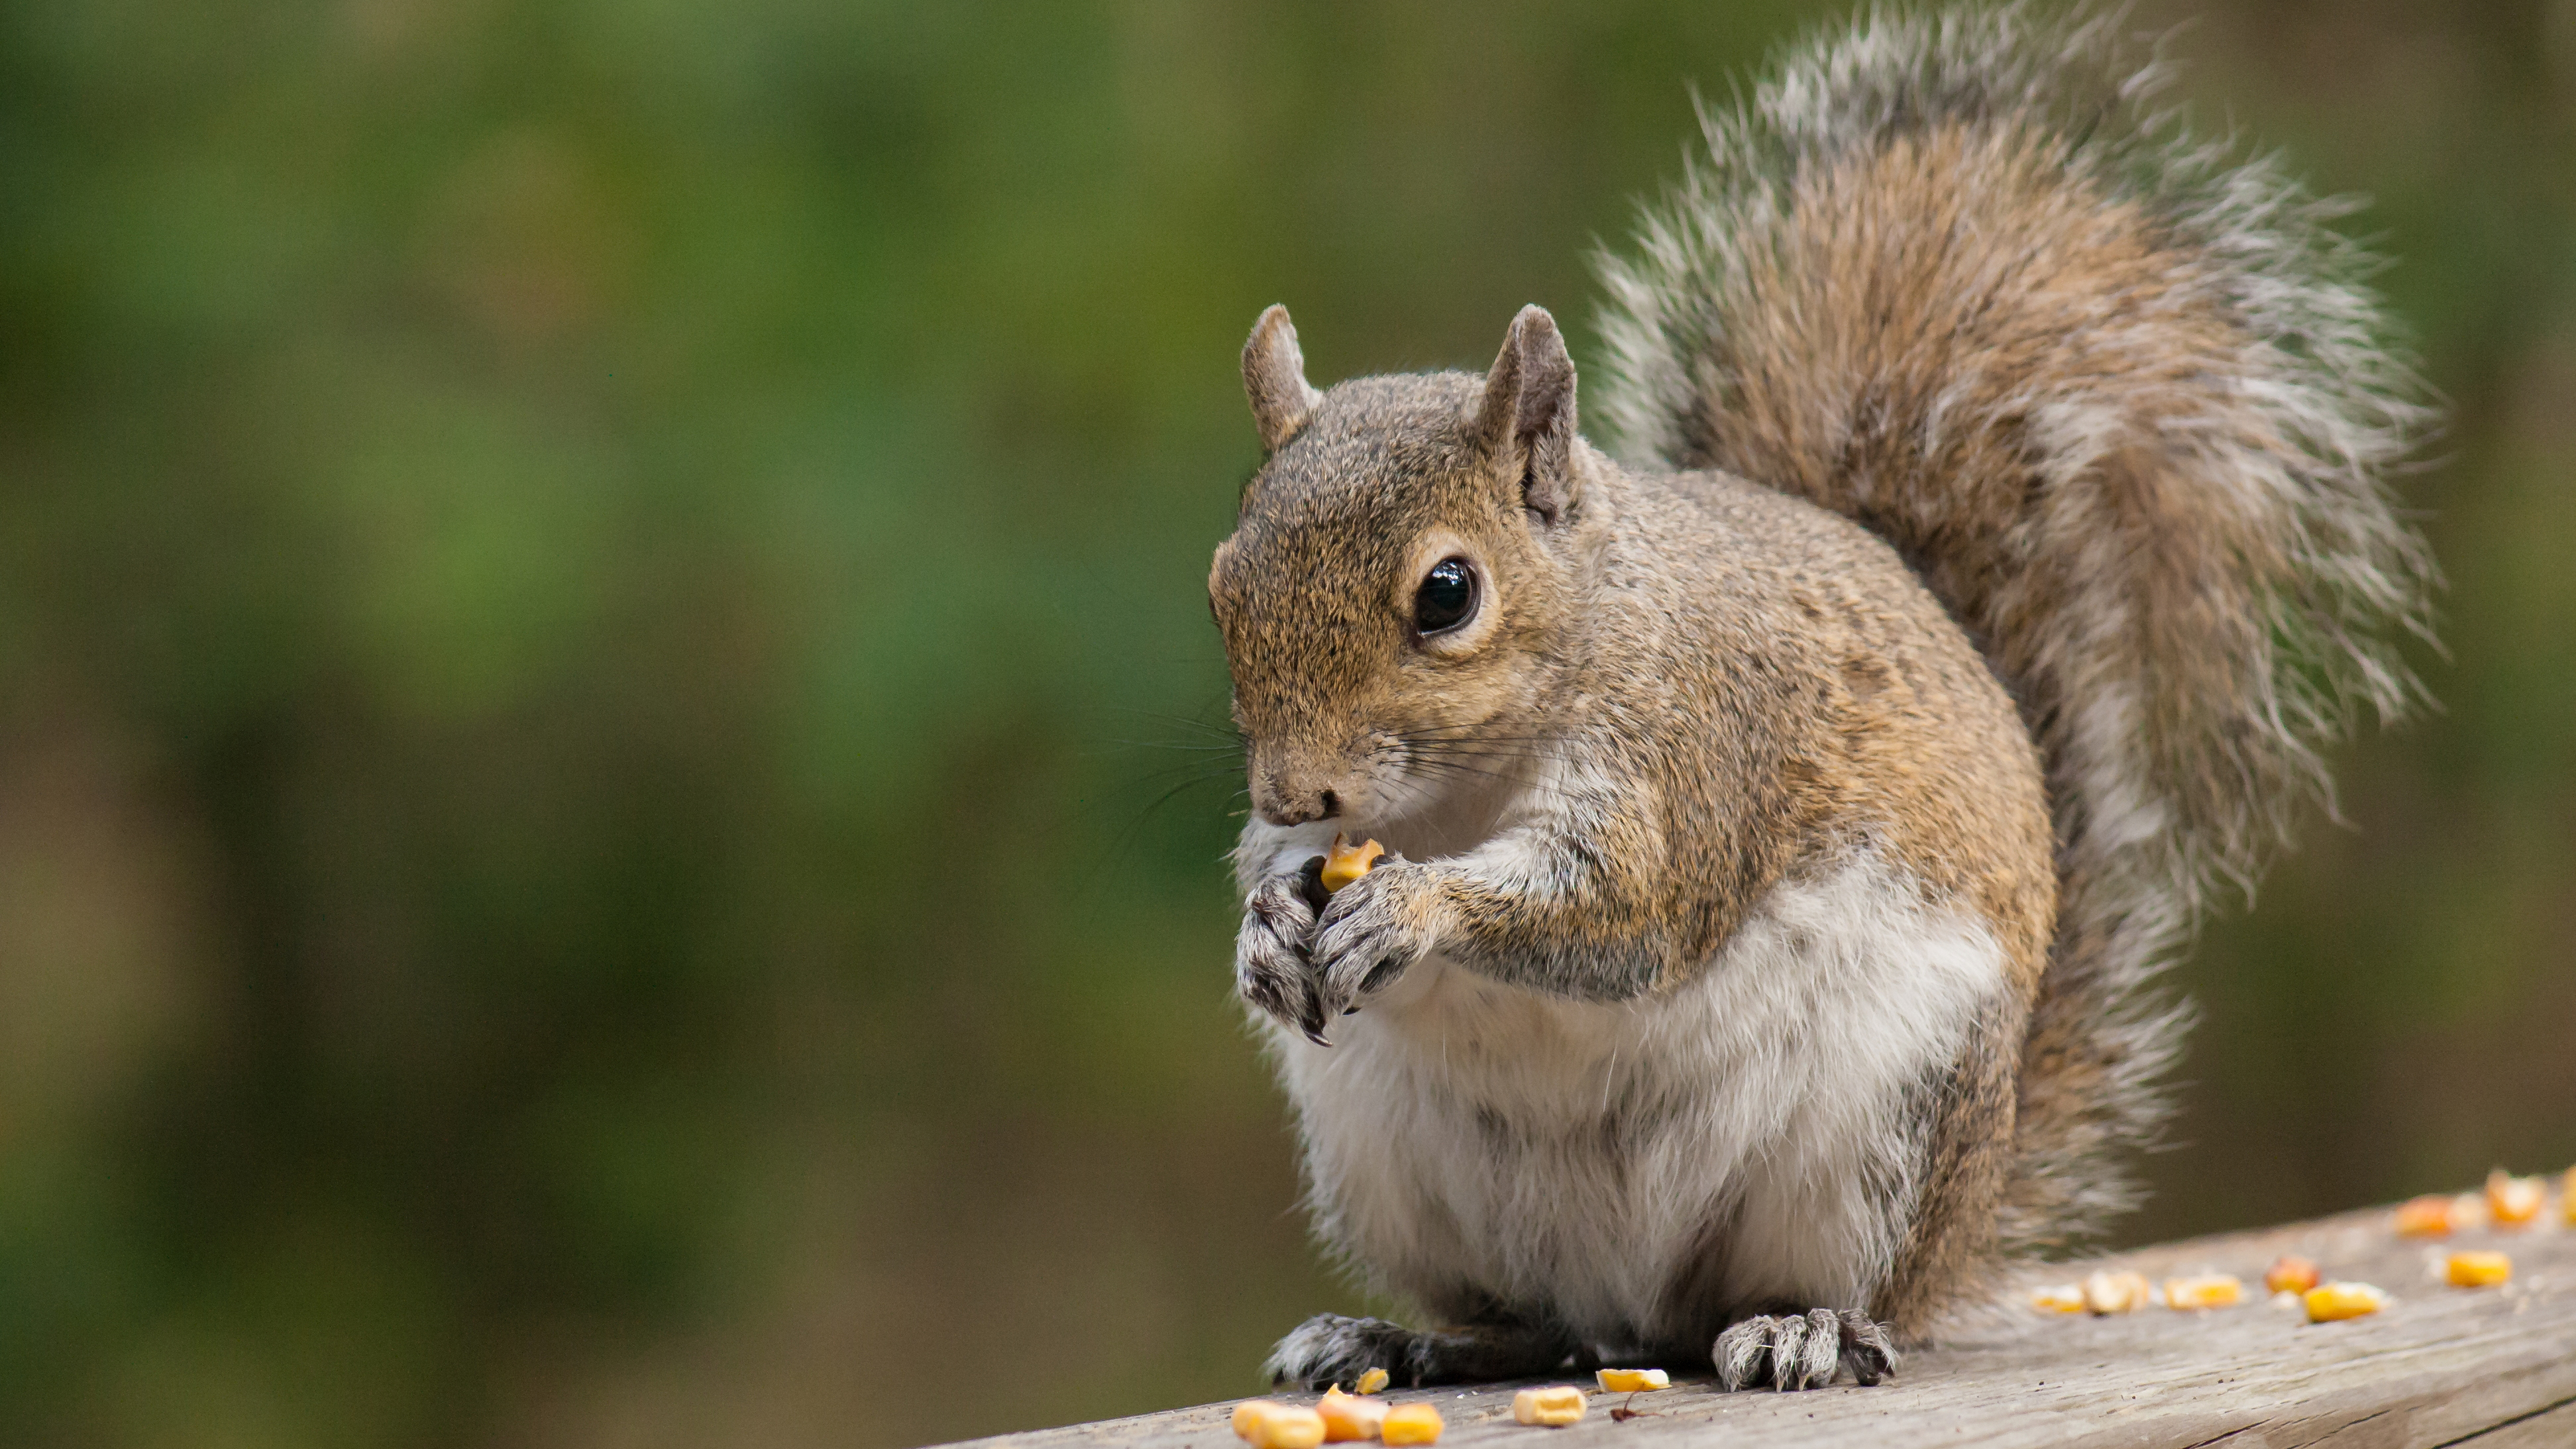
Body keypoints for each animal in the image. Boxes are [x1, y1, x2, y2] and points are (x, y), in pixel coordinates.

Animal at [1207, 3, 2433, 1393]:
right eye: (1223, 579)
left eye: (1447, 594)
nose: (1290, 788)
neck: (1467, 785)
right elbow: (1294, 878)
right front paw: (1265, 923)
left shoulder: (1696, 759)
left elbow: (1619, 913)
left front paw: (1412, 908)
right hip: (1391, 1163)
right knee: (1533, 1324)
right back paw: (1400, 1337)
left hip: (1885, 1129)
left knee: (1813, 1293)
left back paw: (1803, 1326)